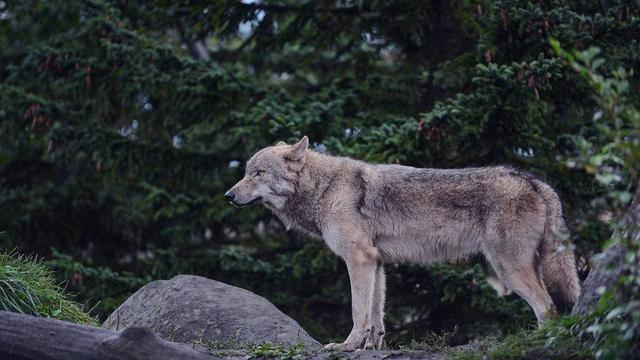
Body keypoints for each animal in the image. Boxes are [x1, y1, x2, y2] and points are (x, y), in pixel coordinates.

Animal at [228, 136, 584, 350]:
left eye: (258, 173)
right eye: (245, 172)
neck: (325, 188)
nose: (228, 196)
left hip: (508, 270)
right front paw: (370, 348)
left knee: (548, 307)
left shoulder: (358, 260)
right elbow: (376, 316)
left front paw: (346, 347)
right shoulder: (376, 263)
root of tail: (534, 181)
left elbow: (358, 311)